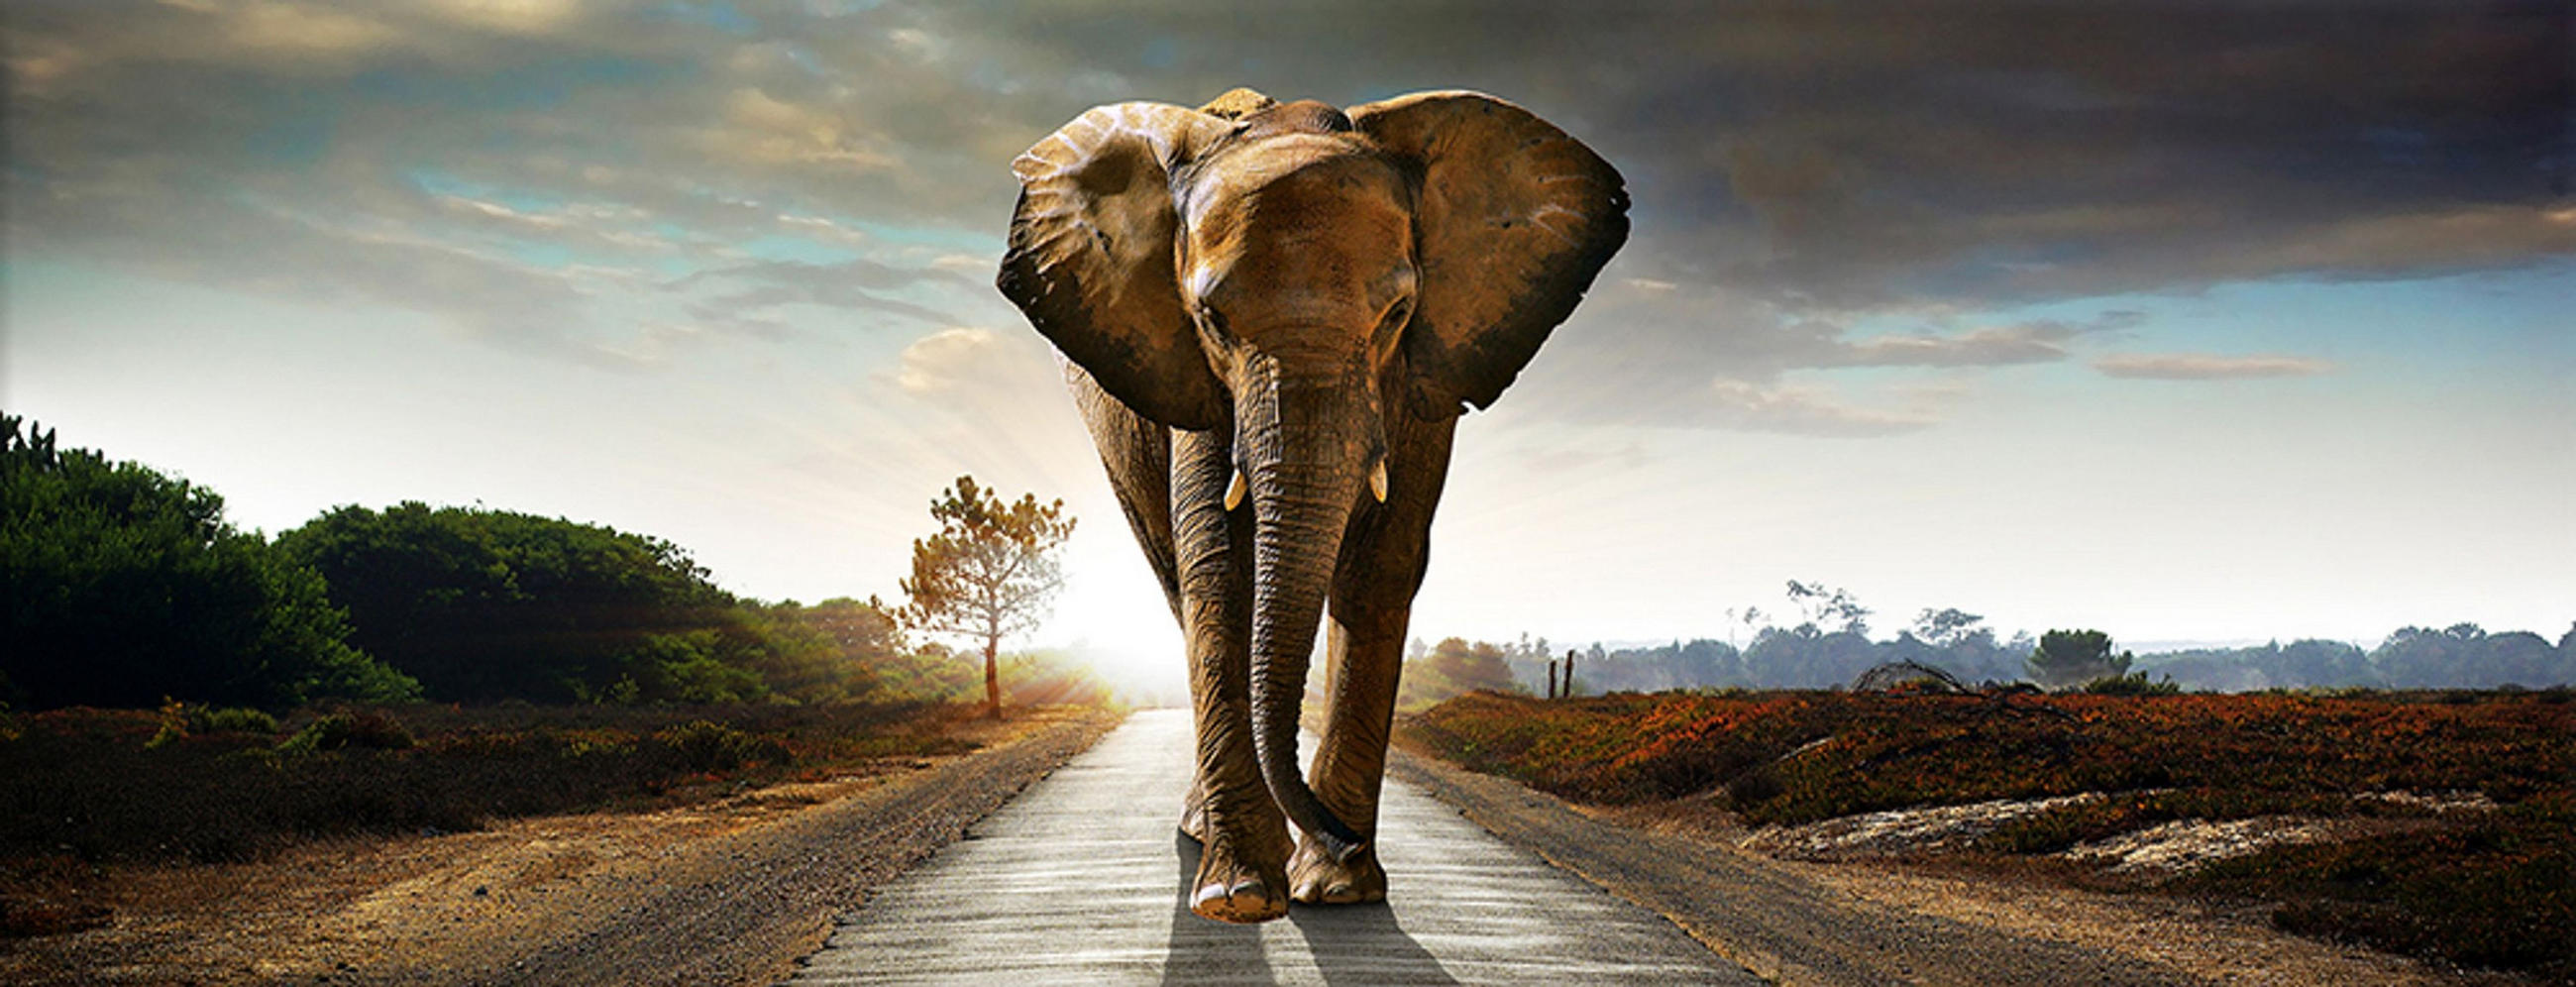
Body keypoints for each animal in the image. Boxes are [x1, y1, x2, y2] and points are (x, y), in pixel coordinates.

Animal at [996, 87, 1628, 923]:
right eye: (1212, 320)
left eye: (1397, 314)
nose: (1340, 837)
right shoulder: (1194, 382)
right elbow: (1221, 569)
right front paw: (1239, 897)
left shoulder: (1425, 376)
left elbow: (1381, 566)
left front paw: (1338, 889)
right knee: (1175, 579)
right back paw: (1206, 834)